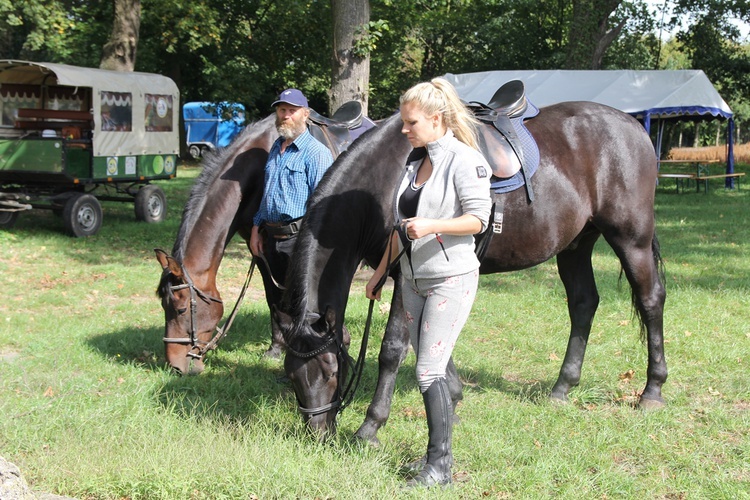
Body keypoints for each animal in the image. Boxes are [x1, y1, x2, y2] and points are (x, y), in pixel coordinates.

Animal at [276, 101, 668, 442]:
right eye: (291, 374)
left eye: (331, 370)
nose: (318, 432)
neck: (383, 182)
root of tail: (633, 126)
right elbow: (432, 340)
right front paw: (453, 400)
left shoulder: (405, 275)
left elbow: (393, 350)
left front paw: (370, 427)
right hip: (576, 245)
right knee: (584, 303)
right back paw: (562, 388)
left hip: (630, 239)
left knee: (650, 301)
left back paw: (652, 390)